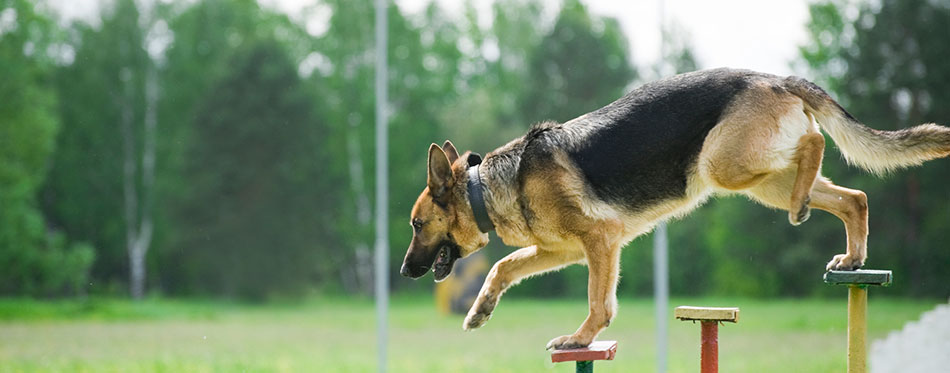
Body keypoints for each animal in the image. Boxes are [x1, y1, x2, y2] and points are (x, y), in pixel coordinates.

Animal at [398, 67, 950, 348]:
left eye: (417, 224)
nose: (403, 272)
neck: (486, 187)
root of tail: (773, 76)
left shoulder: (601, 242)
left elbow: (599, 303)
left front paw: (580, 338)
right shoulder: (565, 250)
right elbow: (505, 266)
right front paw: (479, 311)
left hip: (725, 164)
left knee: (815, 143)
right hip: (761, 180)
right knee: (853, 197)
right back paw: (851, 255)